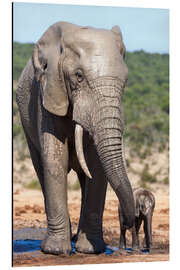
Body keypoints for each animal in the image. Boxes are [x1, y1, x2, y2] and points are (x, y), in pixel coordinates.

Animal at [15, 21, 135, 255]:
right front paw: (55, 251)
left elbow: (96, 166)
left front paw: (90, 250)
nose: (129, 220)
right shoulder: (48, 92)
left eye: (125, 81)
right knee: (41, 168)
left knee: (83, 176)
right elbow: (55, 161)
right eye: (78, 76)